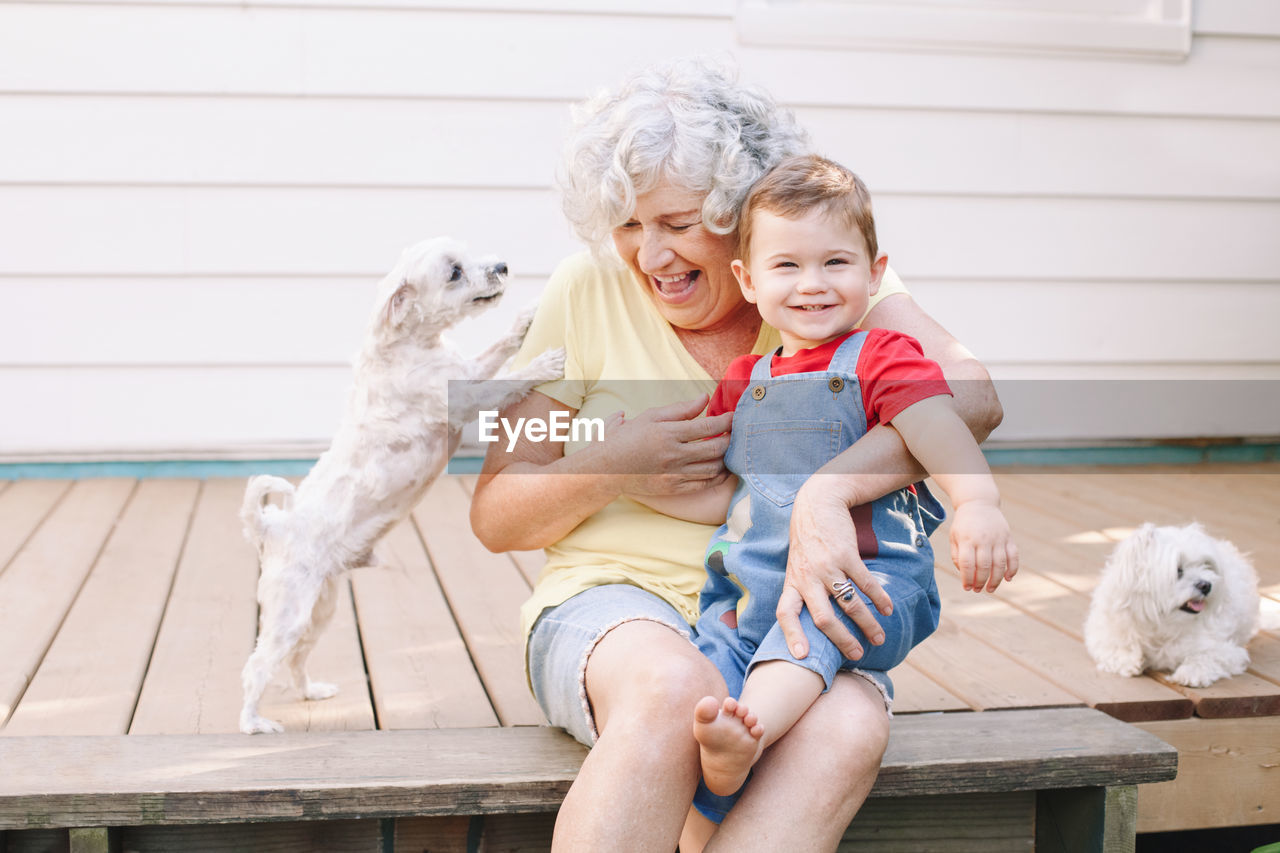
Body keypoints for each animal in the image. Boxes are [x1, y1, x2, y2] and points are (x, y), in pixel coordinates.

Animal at [238, 234, 563, 732]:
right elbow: (508, 379)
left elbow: (494, 351)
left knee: (295, 660)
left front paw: (525, 319)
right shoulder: (464, 399)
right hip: (289, 613)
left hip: (320, 610)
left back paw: (311, 691)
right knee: (257, 667)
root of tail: (272, 527)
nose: (503, 266)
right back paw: (254, 722)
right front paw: (543, 364)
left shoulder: (466, 370)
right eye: (454, 272)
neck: (415, 347)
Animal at [1085, 517, 1264, 691]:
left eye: (1206, 565)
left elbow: (1206, 657)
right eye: (1178, 570)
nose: (1206, 585)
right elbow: (1117, 648)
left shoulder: (1227, 651)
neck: (1164, 625)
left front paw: (1191, 673)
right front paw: (1129, 661)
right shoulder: (1105, 634)